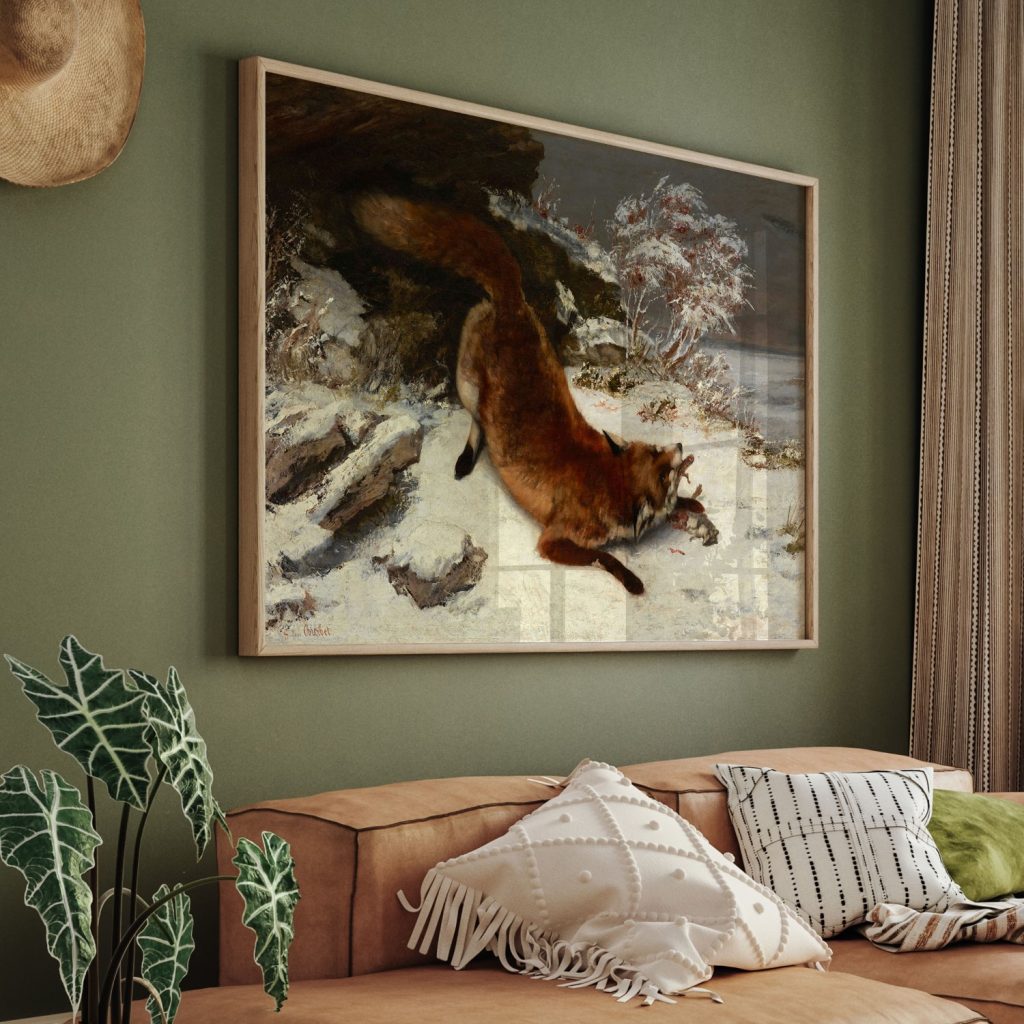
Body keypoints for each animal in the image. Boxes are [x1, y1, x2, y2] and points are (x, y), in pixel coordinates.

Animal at [353, 193, 705, 595]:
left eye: (659, 452)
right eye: (665, 473)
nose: (679, 445)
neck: (608, 478)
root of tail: (510, 301)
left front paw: (693, 505)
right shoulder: (552, 540)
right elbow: (607, 558)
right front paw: (633, 581)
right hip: (468, 386)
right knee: (477, 423)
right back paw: (466, 460)